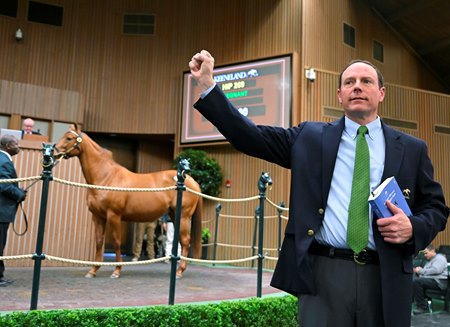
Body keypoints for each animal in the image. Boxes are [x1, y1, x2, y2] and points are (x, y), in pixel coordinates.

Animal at [54, 125, 202, 280]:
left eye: (69, 138)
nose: (54, 151)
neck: (106, 177)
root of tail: (191, 180)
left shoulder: (114, 216)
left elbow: (116, 242)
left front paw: (117, 271)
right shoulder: (98, 216)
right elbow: (99, 242)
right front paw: (93, 270)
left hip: (184, 216)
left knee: (185, 240)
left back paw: (179, 271)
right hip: (174, 215)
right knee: (180, 241)